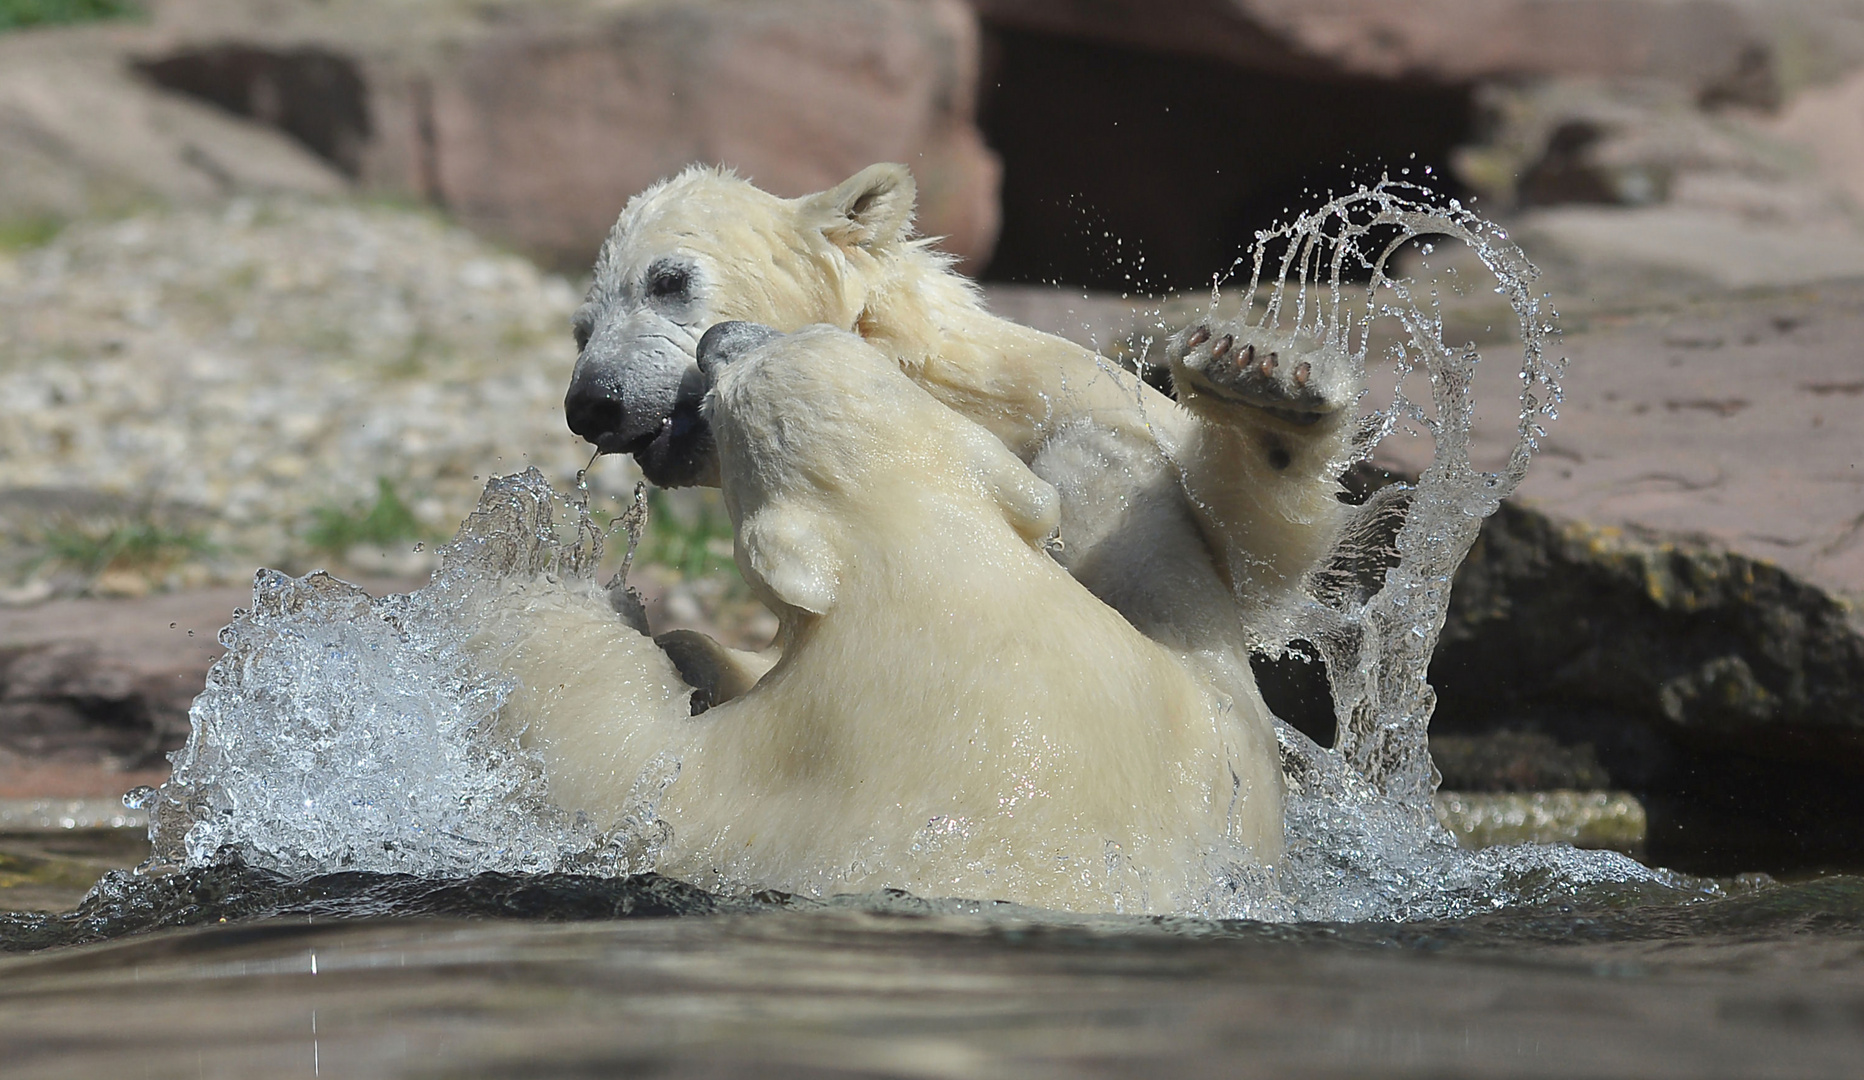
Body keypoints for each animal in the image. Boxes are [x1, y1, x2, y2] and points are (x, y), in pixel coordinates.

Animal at [473, 320, 1282, 913]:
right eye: (826, 333)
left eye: (725, 396)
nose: (723, 331)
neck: (948, 592)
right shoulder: (1208, 753)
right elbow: (1202, 640)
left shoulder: (776, 805)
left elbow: (618, 764)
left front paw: (536, 573)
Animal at [555, 162, 1356, 720]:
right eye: (581, 328)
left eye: (668, 280)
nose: (592, 401)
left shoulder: (1065, 394)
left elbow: (1253, 567)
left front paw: (1262, 384)